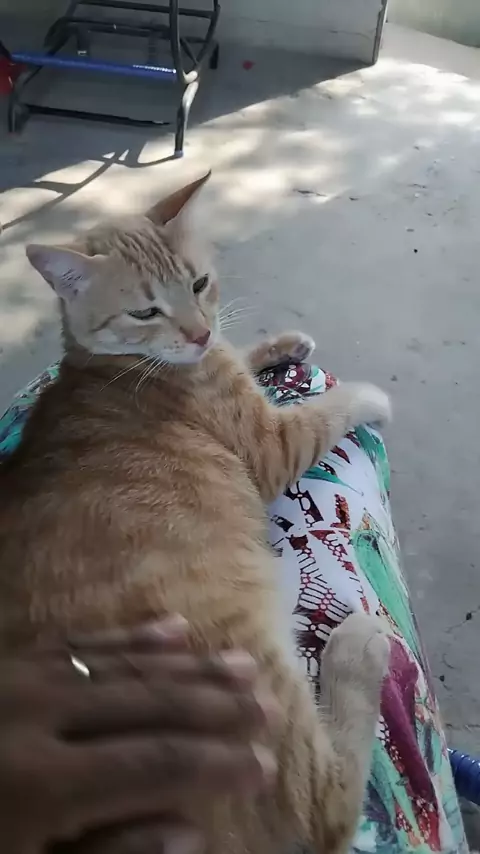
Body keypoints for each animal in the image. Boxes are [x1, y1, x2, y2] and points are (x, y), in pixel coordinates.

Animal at [0, 172, 391, 854]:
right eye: (144, 311)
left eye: (200, 283)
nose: (198, 333)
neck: (116, 366)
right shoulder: (271, 448)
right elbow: (324, 412)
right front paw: (366, 397)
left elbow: (245, 352)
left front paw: (276, 344)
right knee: (326, 810)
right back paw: (358, 646)